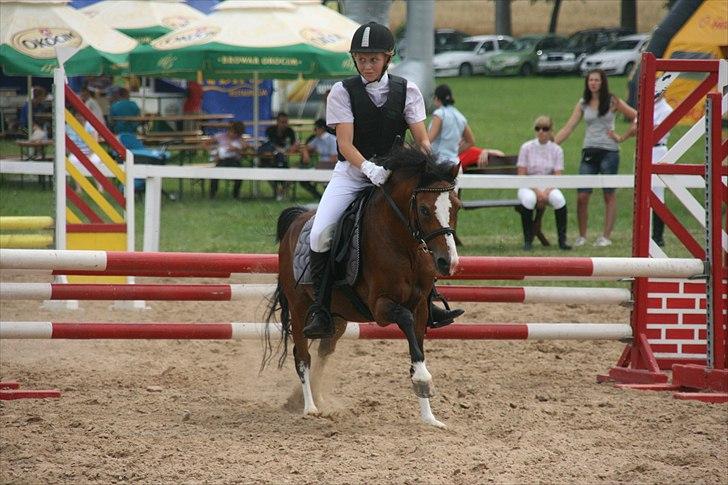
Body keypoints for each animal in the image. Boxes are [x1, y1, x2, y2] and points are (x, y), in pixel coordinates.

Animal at [264, 145, 460, 428]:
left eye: (457, 207)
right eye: (423, 209)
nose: (448, 262)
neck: (404, 246)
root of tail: (297, 219)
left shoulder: (421, 306)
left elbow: (417, 349)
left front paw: (429, 415)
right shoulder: (381, 306)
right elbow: (405, 319)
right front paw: (423, 380)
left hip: (337, 318)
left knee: (324, 351)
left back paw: (305, 399)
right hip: (300, 308)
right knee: (302, 355)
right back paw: (310, 408)